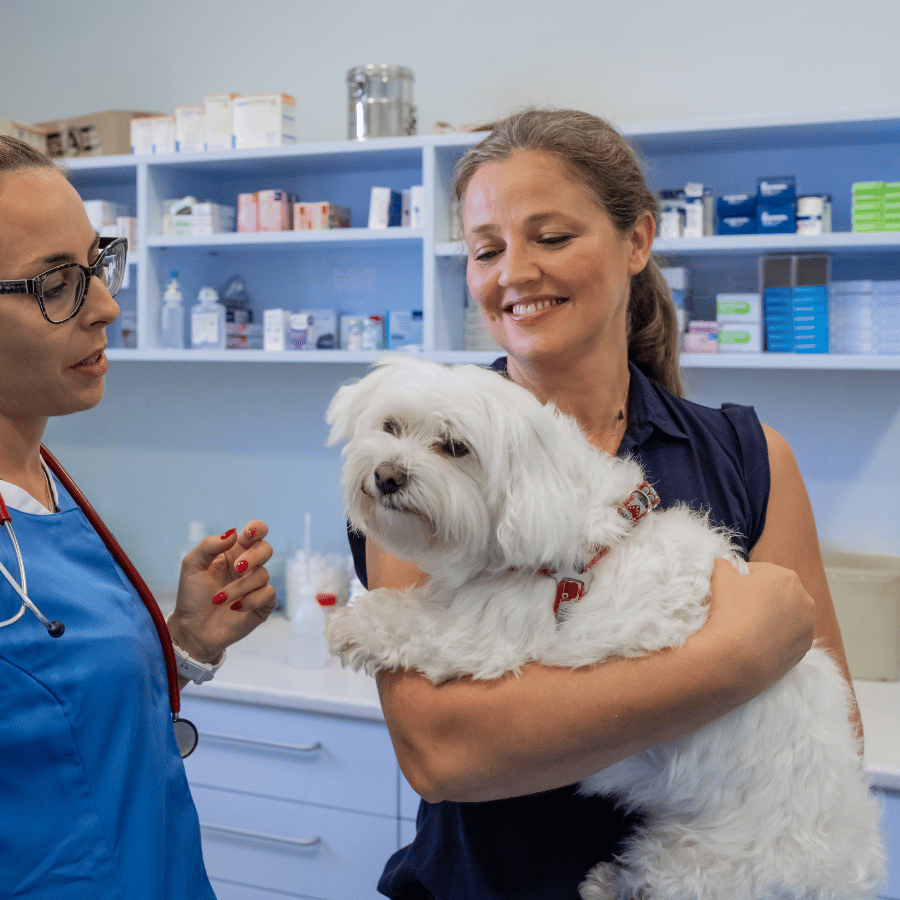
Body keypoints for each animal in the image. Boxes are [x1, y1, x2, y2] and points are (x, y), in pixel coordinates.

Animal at [326, 356, 884, 896]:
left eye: (455, 447)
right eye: (391, 426)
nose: (387, 475)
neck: (569, 530)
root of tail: (844, 869)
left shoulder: (490, 631)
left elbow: (414, 622)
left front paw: (352, 625)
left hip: (705, 863)